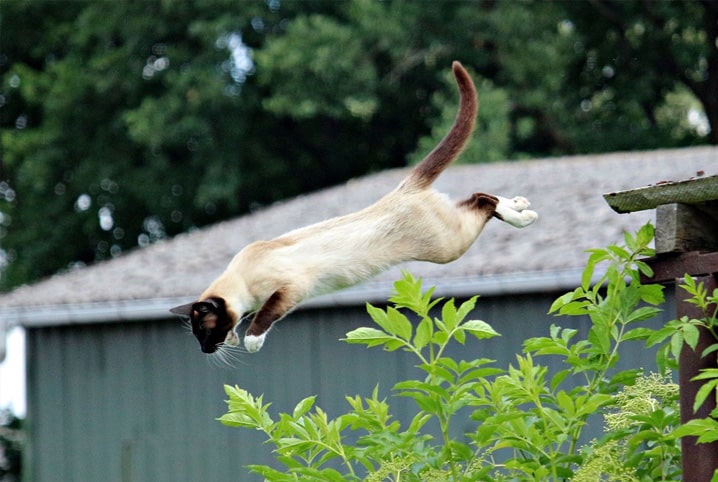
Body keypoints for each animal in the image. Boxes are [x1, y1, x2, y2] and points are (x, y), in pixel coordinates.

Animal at [172, 60, 536, 354]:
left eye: (206, 332)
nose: (205, 350)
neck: (243, 278)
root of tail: (405, 187)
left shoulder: (291, 289)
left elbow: (264, 314)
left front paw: (251, 340)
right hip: (451, 234)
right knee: (479, 197)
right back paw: (521, 206)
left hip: (447, 248)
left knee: (484, 202)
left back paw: (525, 216)